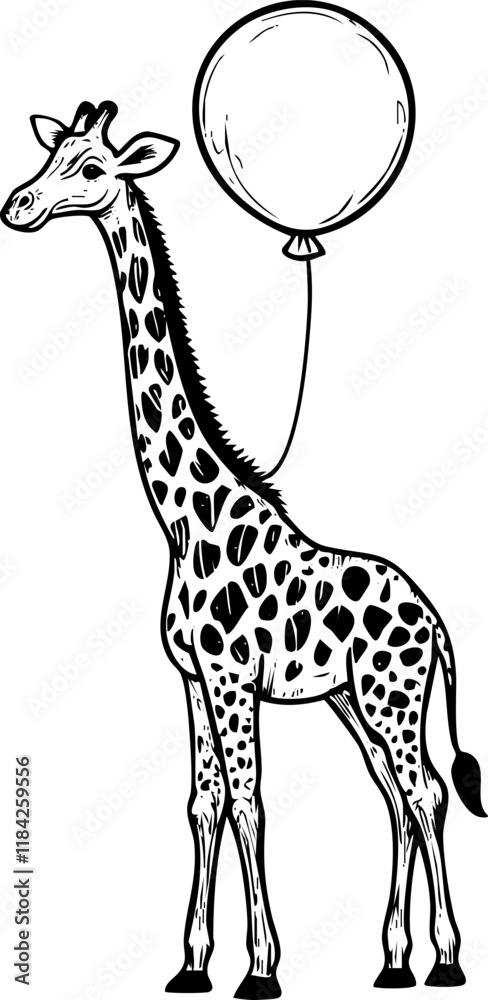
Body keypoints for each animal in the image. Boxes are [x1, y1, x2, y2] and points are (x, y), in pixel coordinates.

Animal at [2, 101, 485, 999]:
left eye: (93, 168)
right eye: (50, 153)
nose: (17, 206)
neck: (187, 520)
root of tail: (436, 621)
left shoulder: (232, 678)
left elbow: (250, 802)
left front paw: (261, 971)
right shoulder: (192, 678)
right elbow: (203, 805)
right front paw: (191, 964)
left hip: (394, 696)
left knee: (429, 793)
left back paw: (443, 959)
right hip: (352, 700)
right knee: (395, 799)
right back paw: (391, 961)